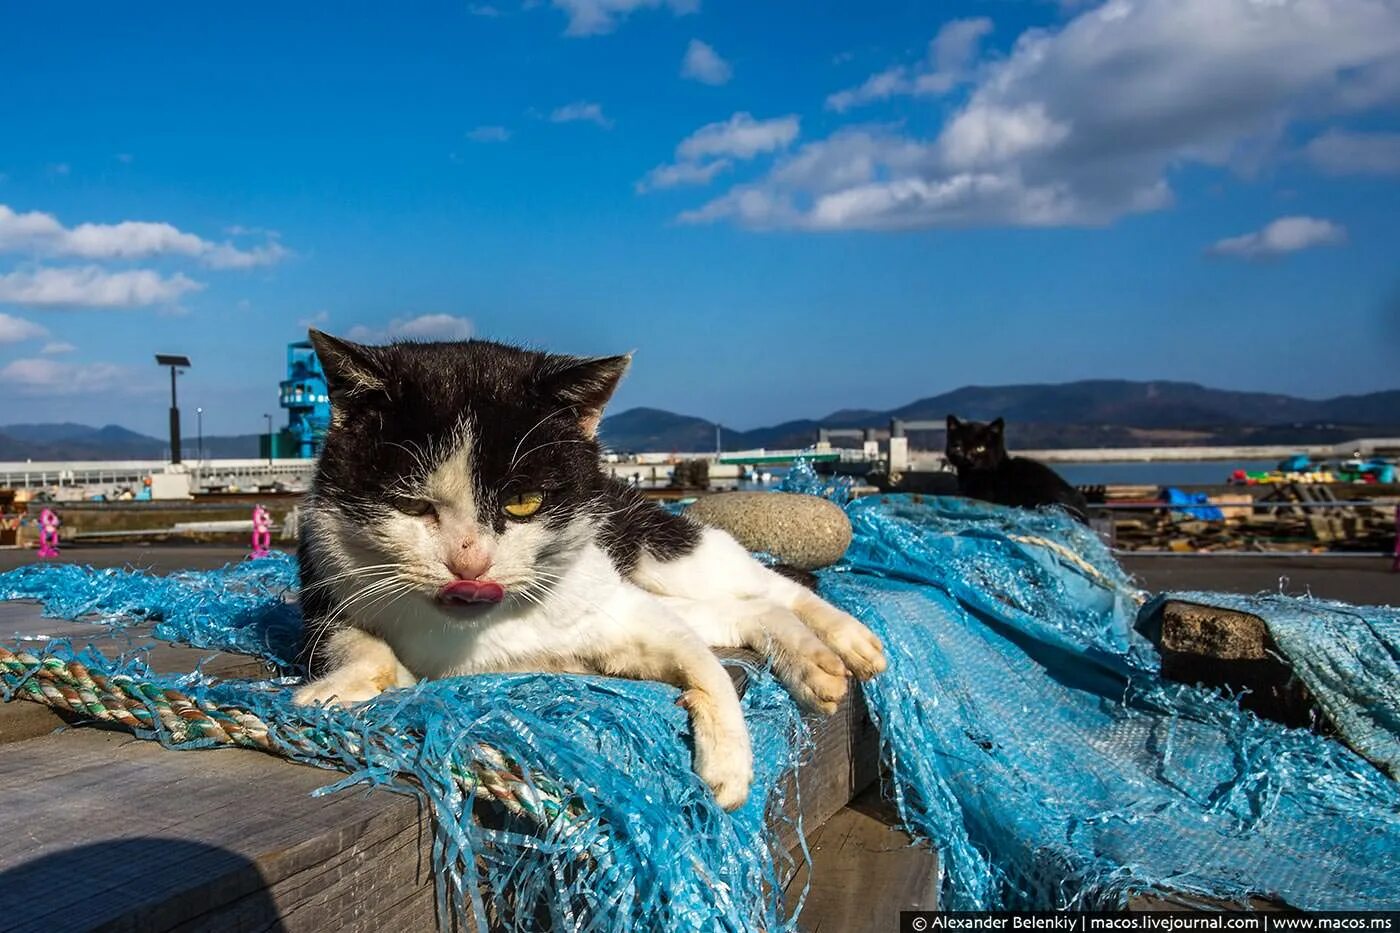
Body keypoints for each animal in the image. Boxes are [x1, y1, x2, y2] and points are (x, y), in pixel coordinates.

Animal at [294, 330, 884, 801]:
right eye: (412, 506)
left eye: (523, 502)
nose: (471, 563)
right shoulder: (325, 594)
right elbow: (360, 646)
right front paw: (333, 689)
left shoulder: (621, 612)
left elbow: (706, 667)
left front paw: (730, 768)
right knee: (746, 609)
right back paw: (815, 664)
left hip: (660, 550)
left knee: (768, 585)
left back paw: (848, 643)